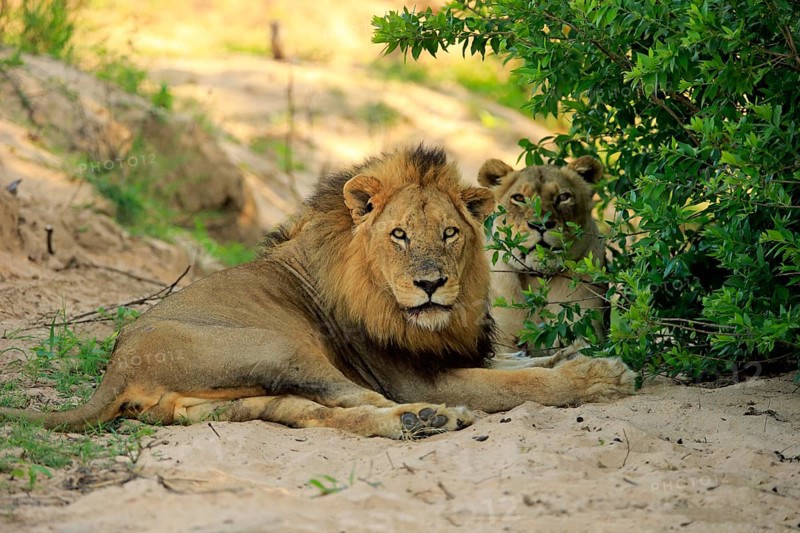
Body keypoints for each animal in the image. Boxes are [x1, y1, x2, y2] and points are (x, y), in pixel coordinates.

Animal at [478, 156, 608, 366]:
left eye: (563, 197)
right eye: (519, 198)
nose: (541, 224)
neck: (538, 279)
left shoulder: (588, 325)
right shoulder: (501, 340)